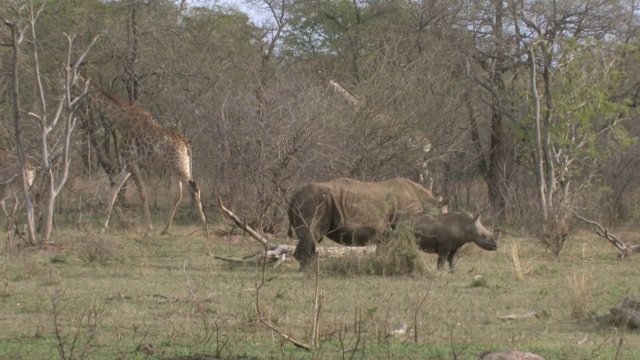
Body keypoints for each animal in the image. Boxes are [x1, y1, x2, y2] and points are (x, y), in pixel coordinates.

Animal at [85, 83, 209, 238]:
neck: (121, 120)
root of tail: (186, 143)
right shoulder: (128, 164)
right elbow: (114, 189)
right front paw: (103, 227)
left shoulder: (133, 163)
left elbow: (142, 193)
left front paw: (149, 228)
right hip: (176, 167)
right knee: (178, 194)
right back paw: (165, 229)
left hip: (179, 165)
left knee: (194, 189)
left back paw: (205, 230)